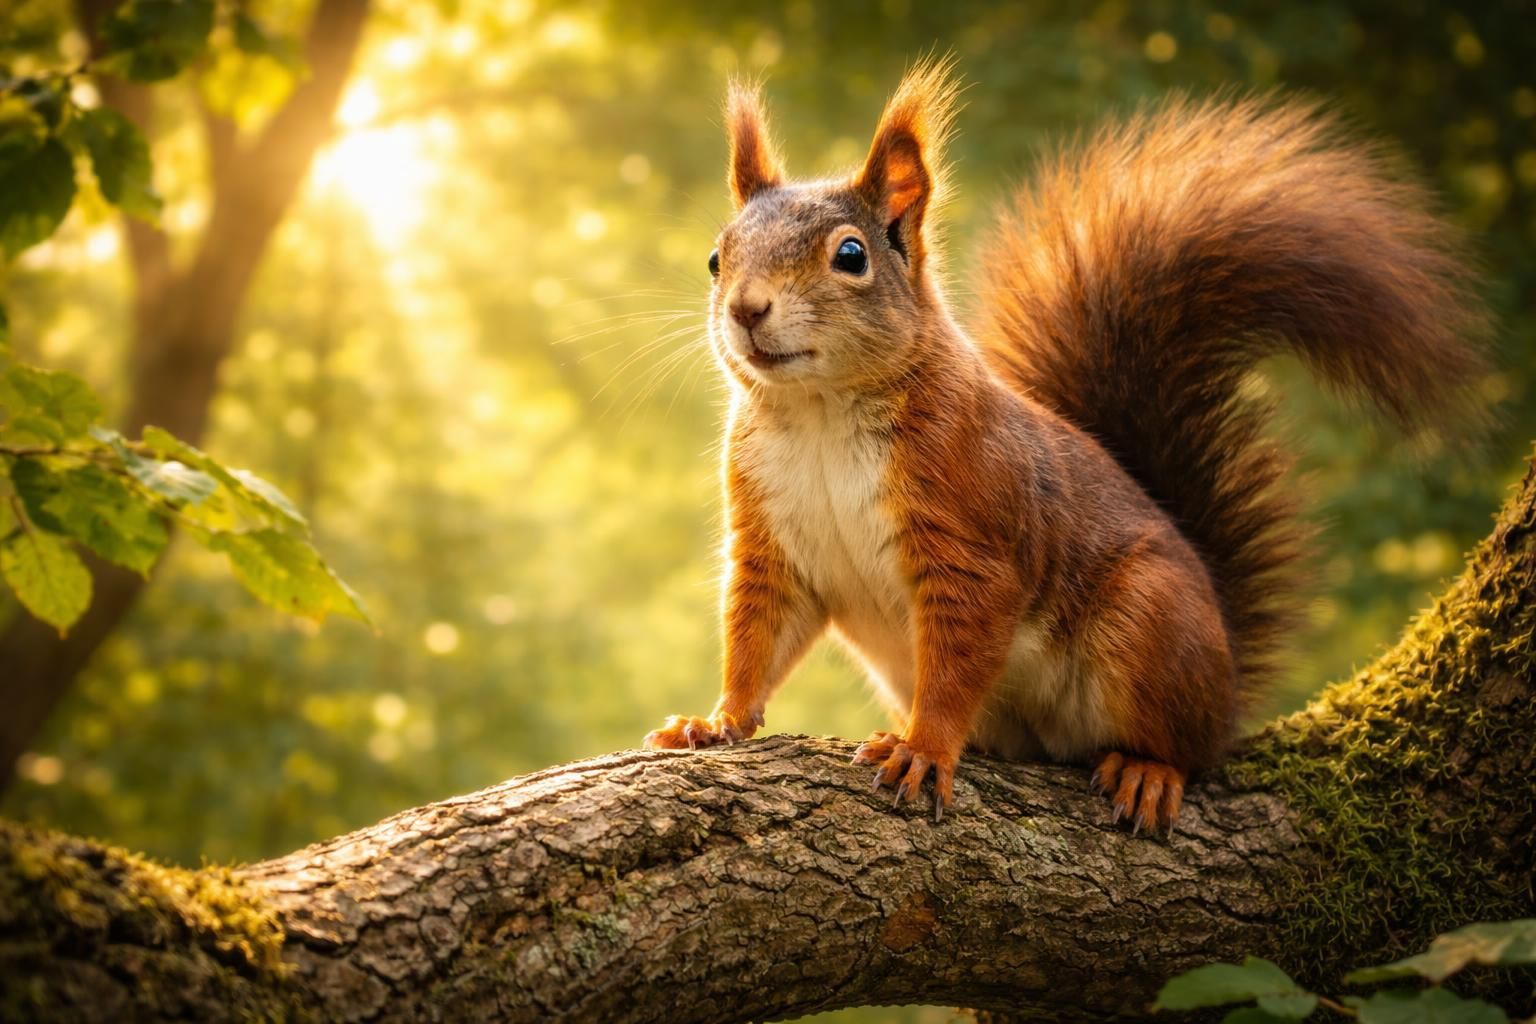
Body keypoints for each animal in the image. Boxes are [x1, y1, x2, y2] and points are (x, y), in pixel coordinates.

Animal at [643, 61, 1487, 831]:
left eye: (851, 256)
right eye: (717, 258)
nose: (747, 309)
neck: (820, 414)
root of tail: (1226, 684)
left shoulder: (970, 530)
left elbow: (955, 664)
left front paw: (923, 747)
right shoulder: (771, 541)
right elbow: (756, 637)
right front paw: (716, 721)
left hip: (1149, 623)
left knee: (1185, 747)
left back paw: (1149, 770)